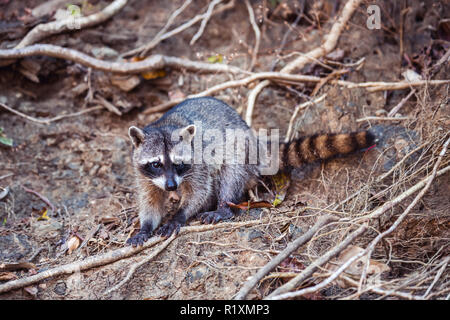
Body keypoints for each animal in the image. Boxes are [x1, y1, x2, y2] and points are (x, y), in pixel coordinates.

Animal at [125, 96, 372, 246]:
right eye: (156, 164)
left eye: (178, 163)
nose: (171, 186)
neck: (164, 126)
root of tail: (255, 142)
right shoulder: (143, 174)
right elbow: (150, 200)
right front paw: (145, 227)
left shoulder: (198, 162)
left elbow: (199, 192)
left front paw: (179, 215)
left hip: (241, 150)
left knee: (230, 175)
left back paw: (223, 207)